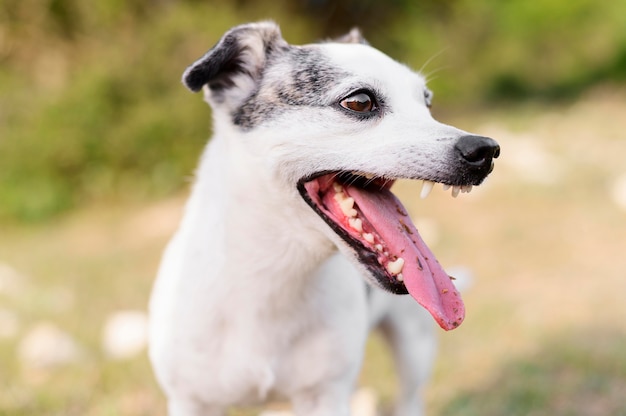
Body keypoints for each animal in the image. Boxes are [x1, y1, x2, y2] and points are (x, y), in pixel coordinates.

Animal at [147, 22, 498, 416]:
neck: (277, 272)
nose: (484, 151)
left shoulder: (325, 395)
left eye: (427, 103)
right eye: (359, 101)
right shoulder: (191, 400)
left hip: (413, 347)